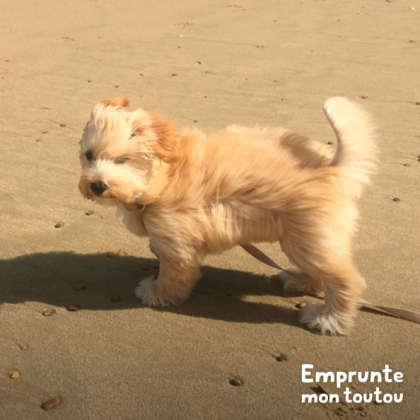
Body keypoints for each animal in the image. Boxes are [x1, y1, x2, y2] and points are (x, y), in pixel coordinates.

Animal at [78, 96, 378, 334]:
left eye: (123, 160)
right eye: (89, 155)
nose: (97, 185)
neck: (164, 177)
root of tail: (332, 168)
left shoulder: (178, 243)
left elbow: (174, 273)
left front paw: (157, 293)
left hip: (308, 239)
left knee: (345, 280)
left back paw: (328, 319)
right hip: (306, 239)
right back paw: (301, 280)